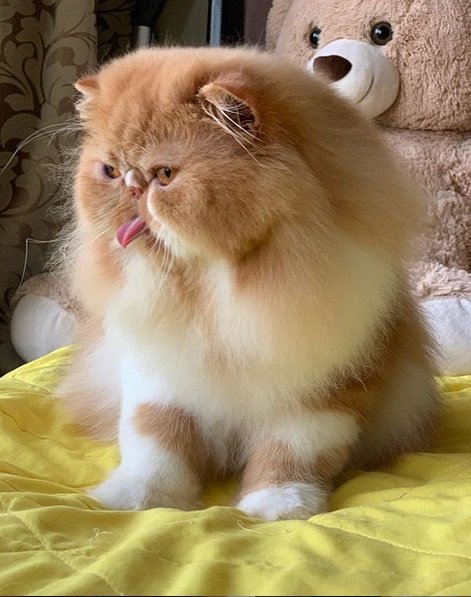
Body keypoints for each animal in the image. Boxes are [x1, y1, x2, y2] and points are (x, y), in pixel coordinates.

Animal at [57, 46, 440, 520]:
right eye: (110, 171)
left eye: (165, 175)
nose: (131, 186)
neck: (213, 294)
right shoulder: (159, 376)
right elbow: (156, 447)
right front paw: (139, 500)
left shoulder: (321, 393)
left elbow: (290, 456)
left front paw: (276, 507)